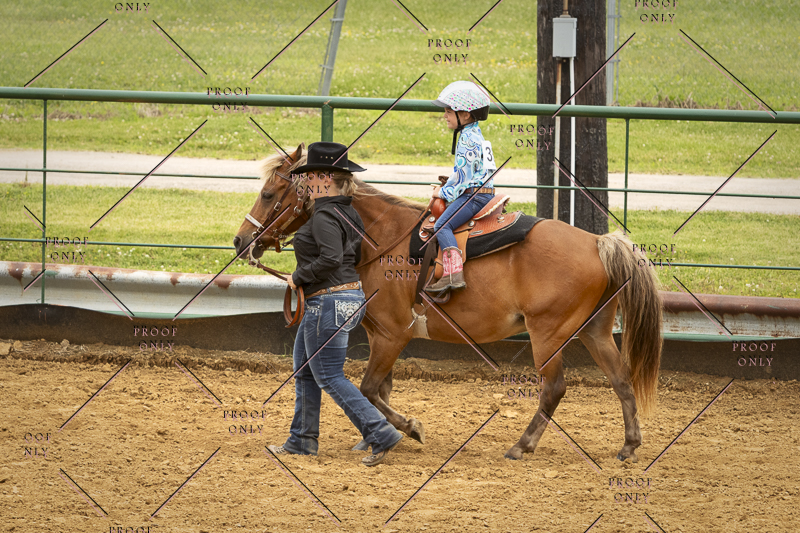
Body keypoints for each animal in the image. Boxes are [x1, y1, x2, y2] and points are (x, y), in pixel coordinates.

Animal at [233, 144, 663, 463]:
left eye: (268, 194)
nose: (240, 241)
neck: (379, 238)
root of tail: (598, 242)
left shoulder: (392, 335)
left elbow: (370, 387)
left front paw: (408, 429)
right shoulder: (377, 335)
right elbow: (381, 389)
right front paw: (371, 437)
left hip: (548, 333)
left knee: (554, 388)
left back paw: (521, 445)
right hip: (594, 330)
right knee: (621, 380)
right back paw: (629, 446)